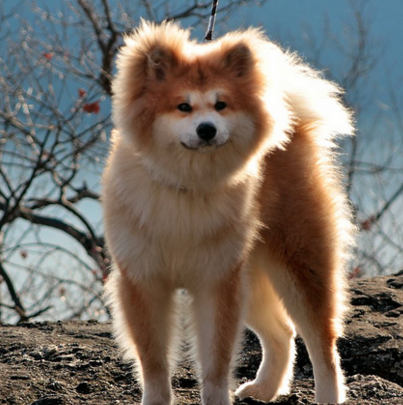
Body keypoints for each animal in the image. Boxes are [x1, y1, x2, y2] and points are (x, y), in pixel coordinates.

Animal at [102, 20, 356, 405]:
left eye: (221, 105)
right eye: (183, 106)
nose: (207, 129)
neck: (188, 186)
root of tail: (293, 125)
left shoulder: (217, 282)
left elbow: (216, 360)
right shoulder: (144, 281)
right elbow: (154, 361)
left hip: (299, 267)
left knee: (322, 343)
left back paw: (326, 395)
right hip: (251, 278)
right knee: (282, 333)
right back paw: (264, 389)